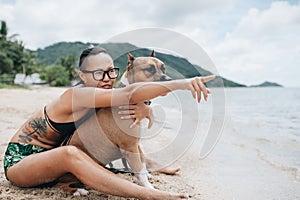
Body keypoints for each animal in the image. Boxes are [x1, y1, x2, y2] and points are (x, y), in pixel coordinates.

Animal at [63, 50, 171, 195]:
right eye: (149, 69)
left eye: (163, 68)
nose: (169, 80)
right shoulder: (130, 147)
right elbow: (140, 171)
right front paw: (149, 188)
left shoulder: (136, 144)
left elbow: (142, 163)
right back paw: (78, 191)